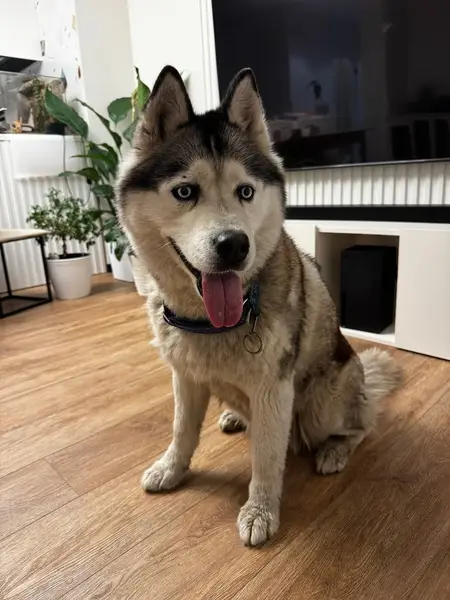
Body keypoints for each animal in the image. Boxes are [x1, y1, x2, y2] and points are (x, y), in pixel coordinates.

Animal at [117, 65, 402, 546]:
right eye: (185, 191)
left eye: (245, 192)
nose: (234, 245)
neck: (210, 324)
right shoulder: (185, 378)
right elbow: (181, 430)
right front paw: (171, 469)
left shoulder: (274, 389)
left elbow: (266, 460)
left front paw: (261, 510)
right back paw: (236, 415)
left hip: (322, 403)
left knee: (362, 424)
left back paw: (335, 449)